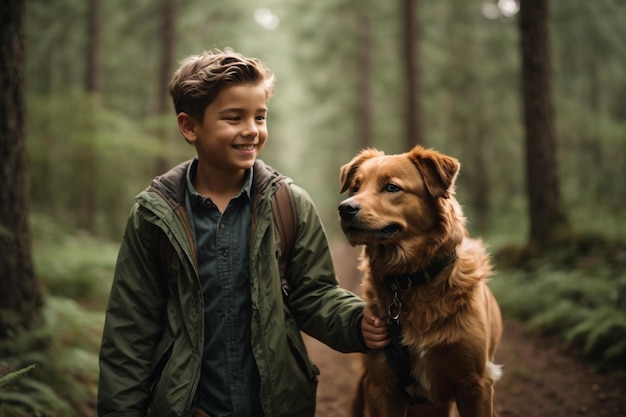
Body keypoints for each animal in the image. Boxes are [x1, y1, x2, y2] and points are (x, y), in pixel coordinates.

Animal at [338, 145, 500, 416]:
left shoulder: (475, 382)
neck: (411, 278)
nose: (344, 209)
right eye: (355, 187)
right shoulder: (382, 384)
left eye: (391, 187)